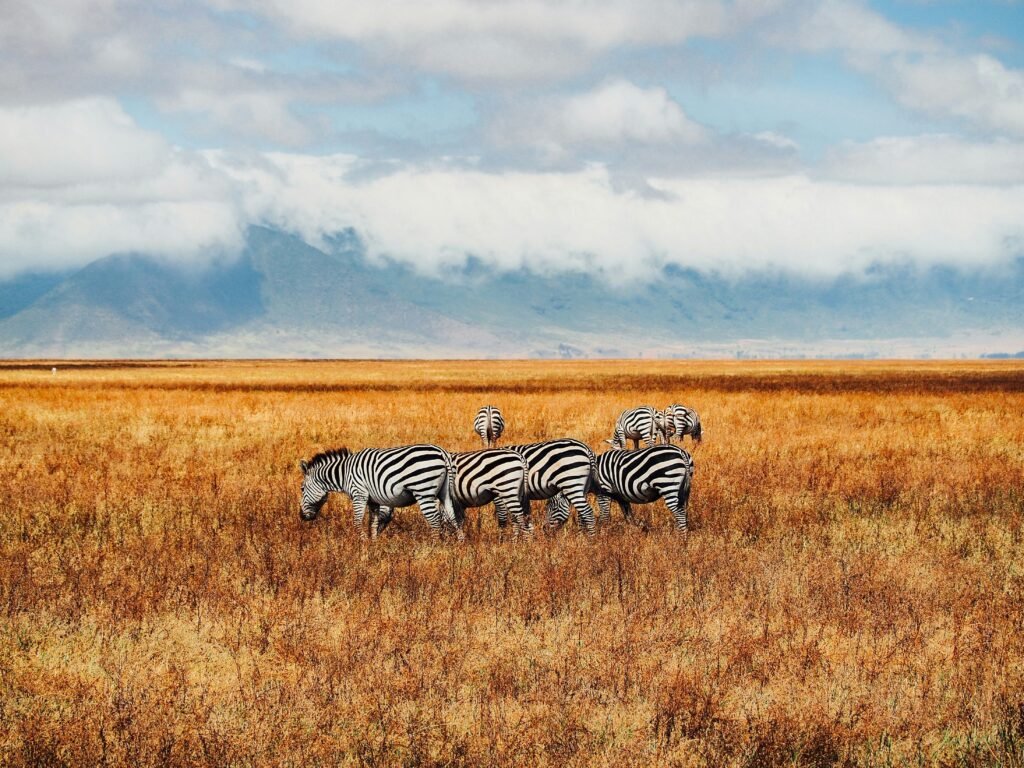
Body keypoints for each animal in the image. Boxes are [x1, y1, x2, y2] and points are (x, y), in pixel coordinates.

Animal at [296, 444, 456, 540]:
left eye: (302, 489)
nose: (301, 516)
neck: (345, 473)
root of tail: (442, 453)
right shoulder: (373, 501)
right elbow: (372, 524)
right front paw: (373, 545)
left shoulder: (359, 495)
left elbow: (357, 522)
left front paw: (362, 545)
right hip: (445, 492)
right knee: (452, 516)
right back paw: (457, 547)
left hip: (423, 491)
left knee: (435, 521)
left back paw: (434, 547)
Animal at [378, 448, 536, 536]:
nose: (375, 538)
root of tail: (519, 456)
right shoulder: (457, 503)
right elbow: (456, 520)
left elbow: (445, 520)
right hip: (516, 492)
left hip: (506, 488)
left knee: (517, 517)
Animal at [544, 444, 696, 536]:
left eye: (552, 507)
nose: (544, 530)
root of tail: (681, 452)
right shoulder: (621, 497)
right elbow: (629, 517)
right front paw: (635, 534)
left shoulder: (604, 492)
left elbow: (605, 516)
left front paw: (603, 534)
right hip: (683, 490)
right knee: (683, 511)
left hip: (668, 484)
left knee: (679, 512)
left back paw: (681, 538)